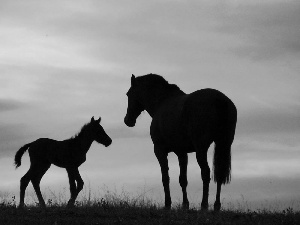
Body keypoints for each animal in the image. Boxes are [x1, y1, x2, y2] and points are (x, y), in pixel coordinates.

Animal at [124, 74, 237, 211]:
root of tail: (220, 100)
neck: (161, 103)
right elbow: (183, 179)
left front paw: (168, 204)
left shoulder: (159, 150)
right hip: (223, 144)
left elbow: (165, 178)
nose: (127, 120)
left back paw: (204, 205)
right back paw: (216, 205)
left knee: (205, 173)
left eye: (128, 94)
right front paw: (185, 205)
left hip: (201, 148)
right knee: (219, 172)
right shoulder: (181, 153)